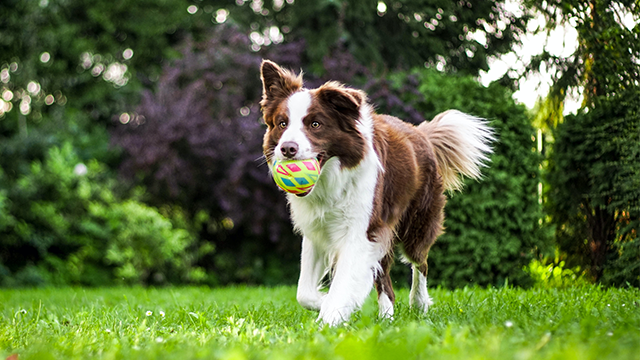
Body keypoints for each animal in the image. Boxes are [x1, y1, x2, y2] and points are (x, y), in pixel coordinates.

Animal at [260, 59, 496, 326]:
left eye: (315, 124)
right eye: (282, 124)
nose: (287, 148)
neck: (331, 180)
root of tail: (421, 133)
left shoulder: (361, 230)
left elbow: (343, 282)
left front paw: (330, 317)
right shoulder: (317, 230)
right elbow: (304, 293)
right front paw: (328, 303)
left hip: (416, 223)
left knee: (420, 262)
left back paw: (419, 303)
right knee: (385, 280)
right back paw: (386, 317)